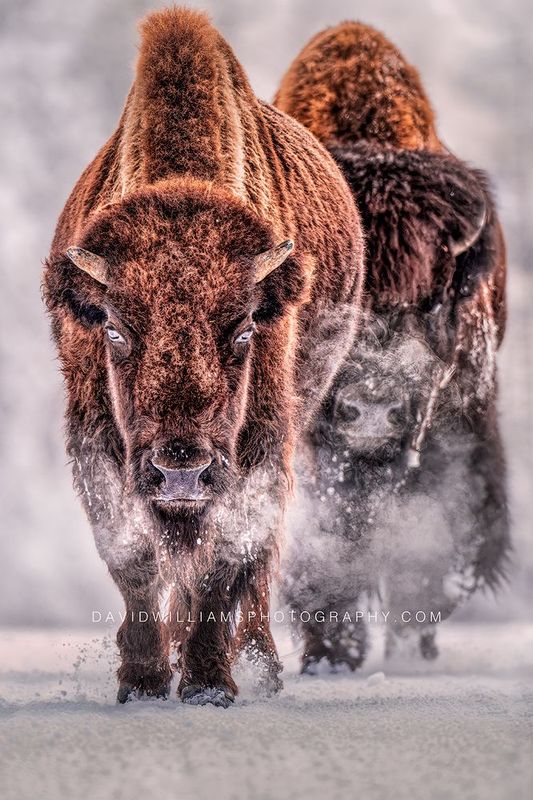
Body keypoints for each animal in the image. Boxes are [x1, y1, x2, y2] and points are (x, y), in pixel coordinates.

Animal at [45, 9, 365, 704]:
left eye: (243, 331)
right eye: (114, 330)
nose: (181, 471)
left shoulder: (256, 445)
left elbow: (225, 561)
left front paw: (210, 684)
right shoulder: (98, 439)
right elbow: (134, 556)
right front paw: (142, 682)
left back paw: (261, 664)